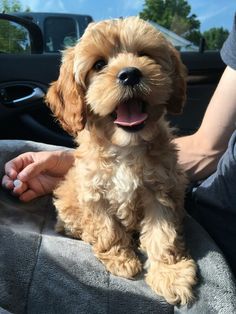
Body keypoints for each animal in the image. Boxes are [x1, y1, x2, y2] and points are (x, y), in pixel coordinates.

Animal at [45, 16, 196, 304]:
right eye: (99, 65)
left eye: (144, 54)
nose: (130, 74)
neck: (126, 146)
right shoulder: (94, 193)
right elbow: (107, 229)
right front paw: (120, 259)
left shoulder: (161, 191)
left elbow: (163, 236)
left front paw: (170, 274)